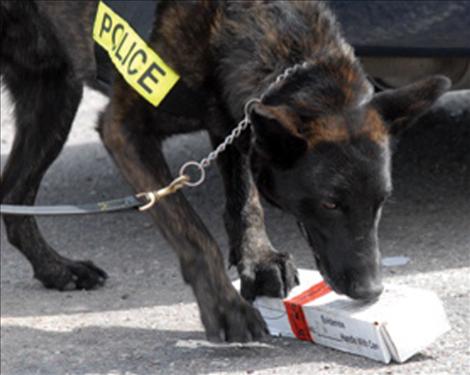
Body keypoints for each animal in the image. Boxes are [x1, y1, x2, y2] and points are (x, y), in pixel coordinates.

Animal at [0, 0, 450, 340]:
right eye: (330, 204)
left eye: (382, 202)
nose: (371, 290)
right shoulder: (124, 129)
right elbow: (195, 235)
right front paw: (224, 307)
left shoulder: (233, 123)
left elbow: (245, 202)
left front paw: (259, 261)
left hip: (54, 98)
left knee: (13, 201)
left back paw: (57, 270)